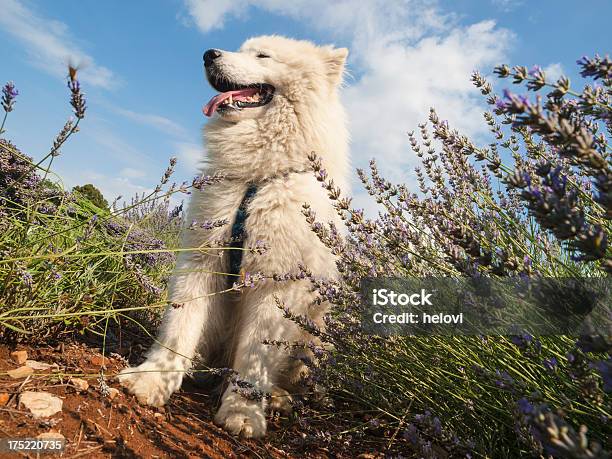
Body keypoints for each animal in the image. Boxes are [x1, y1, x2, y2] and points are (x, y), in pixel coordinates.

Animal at [119, 35, 350, 438]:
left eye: (263, 55)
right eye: (244, 48)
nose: (208, 54)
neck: (258, 178)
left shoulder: (274, 284)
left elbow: (256, 356)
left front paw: (244, 411)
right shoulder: (203, 260)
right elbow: (178, 328)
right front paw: (154, 379)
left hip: (314, 335)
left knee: (293, 375)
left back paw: (279, 398)